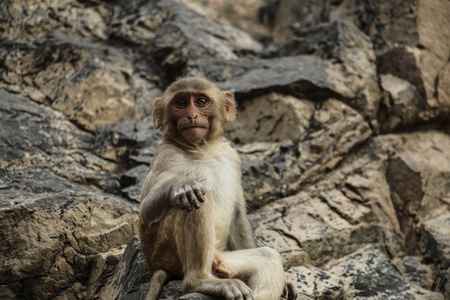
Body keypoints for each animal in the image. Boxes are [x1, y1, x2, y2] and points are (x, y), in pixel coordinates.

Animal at [139, 75, 298, 300]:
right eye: (181, 103)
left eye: (201, 101)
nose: (191, 115)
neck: (203, 150)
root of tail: (155, 266)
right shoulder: (165, 155)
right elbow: (146, 211)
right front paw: (182, 185)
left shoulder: (233, 158)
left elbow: (238, 215)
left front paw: (286, 286)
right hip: (165, 252)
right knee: (197, 200)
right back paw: (200, 281)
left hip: (221, 255)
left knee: (268, 256)